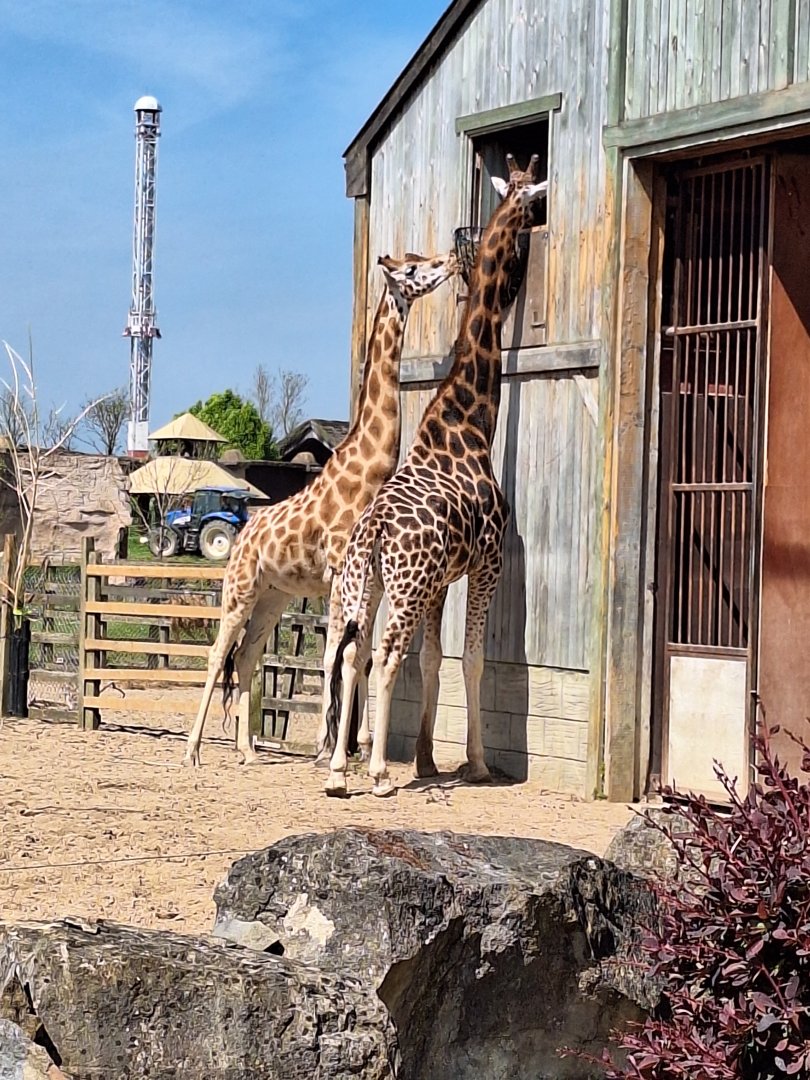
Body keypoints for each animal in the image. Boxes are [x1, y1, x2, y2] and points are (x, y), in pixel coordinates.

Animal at [182, 249, 459, 768]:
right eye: (413, 269)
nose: (451, 260)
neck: (366, 474)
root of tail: (243, 536)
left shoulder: (365, 579)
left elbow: (362, 653)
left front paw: (359, 745)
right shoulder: (337, 574)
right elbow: (335, 654)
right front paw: (325, 746)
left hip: (273, 596)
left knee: (246, 656)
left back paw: (248, 751)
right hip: (240, 588)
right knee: (217, 653)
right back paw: (191, 751)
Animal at [324, 154, 546, 797]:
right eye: (532, 205)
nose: (455, 256)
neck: (469, 423)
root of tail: (373, 533)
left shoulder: (444, 578)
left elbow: (433, 659)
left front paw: (424, 759)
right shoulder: (489, 562)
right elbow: (470, 659)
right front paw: (476, 762)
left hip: (368, 584)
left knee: (354, 652)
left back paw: (339, 769)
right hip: (404, 585)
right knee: (383, 655)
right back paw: (375, 772)